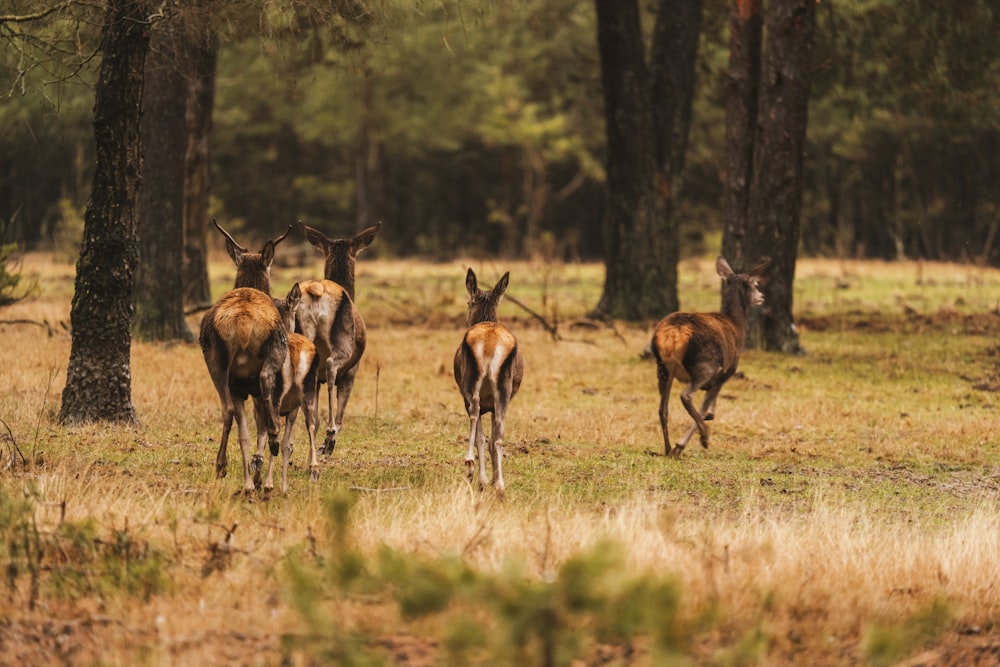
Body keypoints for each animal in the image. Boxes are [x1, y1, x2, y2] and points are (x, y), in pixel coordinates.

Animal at [199, 220, 292, 496]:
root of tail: (242, 322)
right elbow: (257, 426)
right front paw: (258, 477)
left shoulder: (241, 386)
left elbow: (246, 433)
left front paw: (251, 478)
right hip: (272, 353)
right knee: (264, 395)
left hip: (217, 362)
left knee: (228, 408)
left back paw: (226, 467)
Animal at [294, 219, 380, 454]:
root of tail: (316, 290)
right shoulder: (352, 371)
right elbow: (341, 413)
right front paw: (327, 441)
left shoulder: (316, 378)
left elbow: (313, 419)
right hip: (343, 344)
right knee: (332, 363)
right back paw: (330, 436)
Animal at [454, 268, 524, 498]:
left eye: (468, 302)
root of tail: (490, 343)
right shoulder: (493, 405)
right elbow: (492, 439)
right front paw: (493, 478)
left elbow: (482, 437)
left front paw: (483, 479)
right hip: (503, 388)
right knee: (499, 432)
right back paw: (499, 485)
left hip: (470, 383)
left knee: (475, 412)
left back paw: (471, 468)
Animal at [648, 256, 772, 460]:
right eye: (755, 283)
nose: (762, 297)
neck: (737, 324)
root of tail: (674, 334)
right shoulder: (725, 373)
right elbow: (705, 409)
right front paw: (685, 443)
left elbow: (708, 410)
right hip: (704, 365)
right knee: (686, 395)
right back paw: (700, 437)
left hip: (662, 367)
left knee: (662, 408)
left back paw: (667, 449)